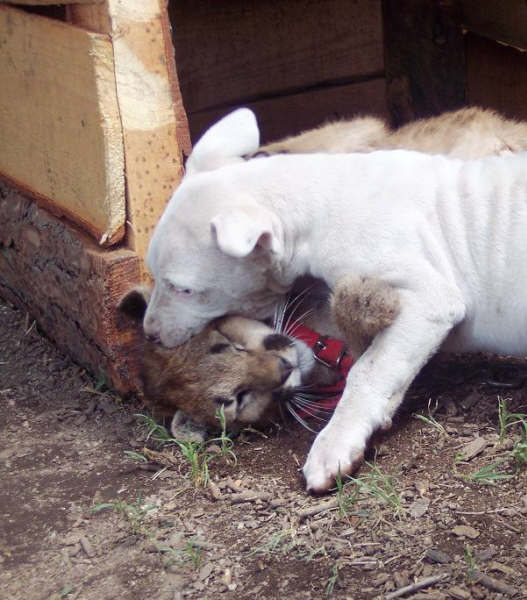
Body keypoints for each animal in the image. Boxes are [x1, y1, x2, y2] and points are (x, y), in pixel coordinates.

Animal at [146, 109, 527, 492]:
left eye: (183, 289)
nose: (149, 334)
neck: (319, 199)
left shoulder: (429, 302)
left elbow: (367, 372)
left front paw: (332, 447)